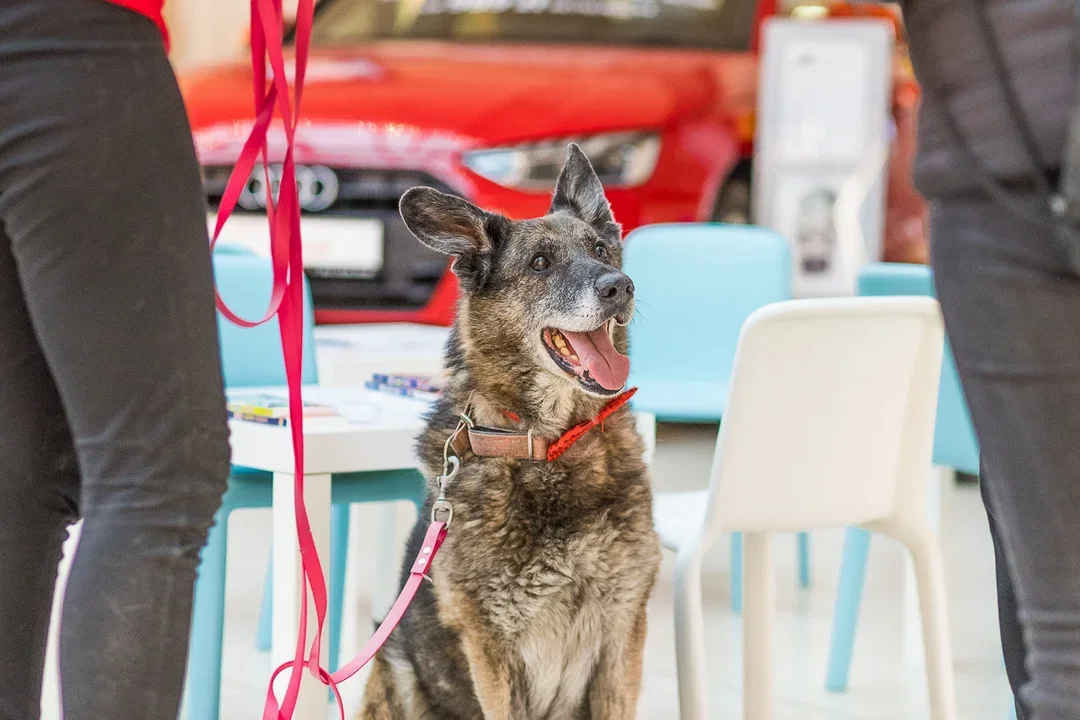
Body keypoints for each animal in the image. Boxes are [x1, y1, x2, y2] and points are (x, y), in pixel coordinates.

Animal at [360, 143, 656, 716]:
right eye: (540, 263)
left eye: (601, 251)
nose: (621, 287)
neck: (552, 445)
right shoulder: (492, 651)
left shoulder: (623, 633)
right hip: (396, 666)